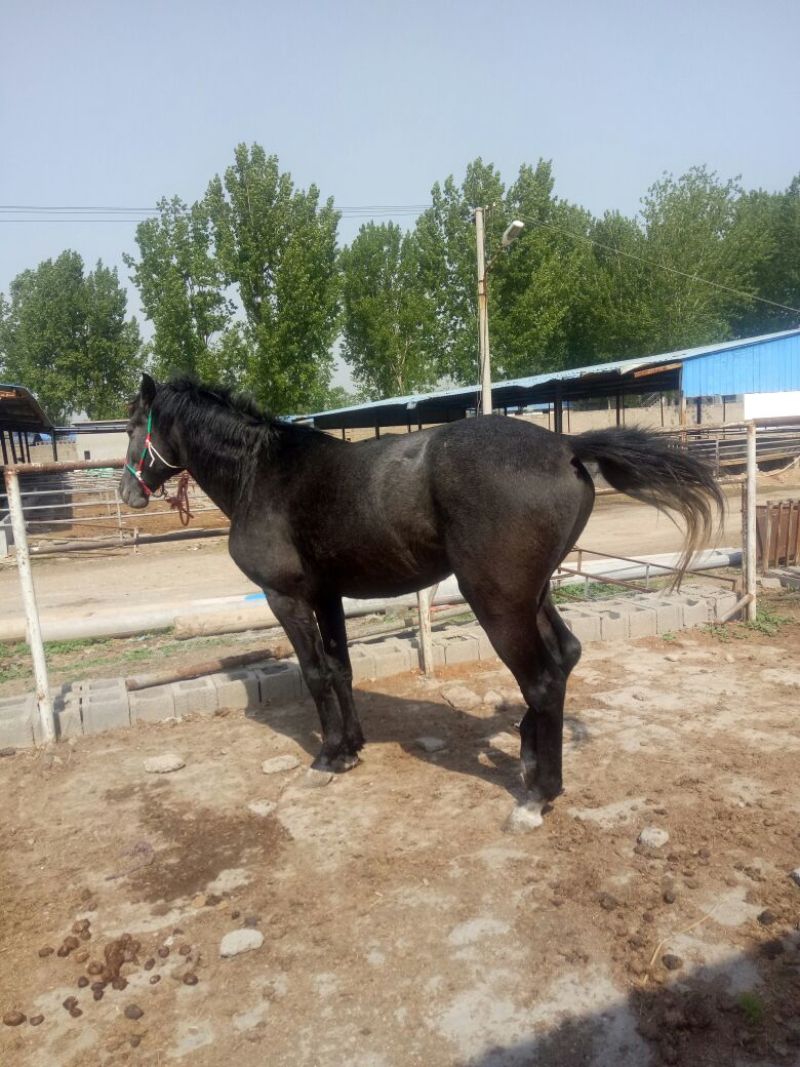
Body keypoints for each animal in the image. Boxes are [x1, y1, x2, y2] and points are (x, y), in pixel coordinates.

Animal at [119, 374, 723, 811]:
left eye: (129, 425)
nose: (128, 492)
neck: (262, 474)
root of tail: (565, 444)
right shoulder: (328, 597)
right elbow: (340, 670)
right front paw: (353, 747)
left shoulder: (285, 598)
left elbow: (314, 675)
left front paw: (328, 756)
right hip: (533, 594)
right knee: (564, 657)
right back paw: (528, 757)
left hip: (498, 603)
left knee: (543, 681)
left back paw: (538, 794)